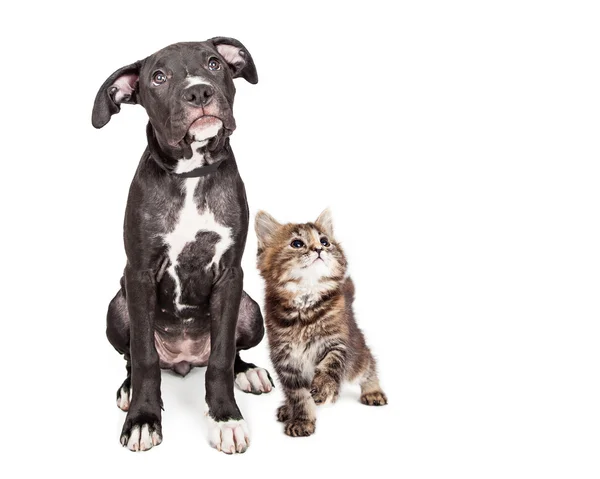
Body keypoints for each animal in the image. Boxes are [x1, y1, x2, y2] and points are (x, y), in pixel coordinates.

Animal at [92, 39, 274, 456]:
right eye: (158, 77)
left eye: (214, 63)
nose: (199, 92)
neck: (190, 175)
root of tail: (184, 360)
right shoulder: (140, 274)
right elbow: (143, 357)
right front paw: (143, 419)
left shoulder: (229, 275)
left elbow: (222, 357)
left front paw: (225, 418)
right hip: (117, 307)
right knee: (132, 356)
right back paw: (128, 388)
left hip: (250, 310)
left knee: (231, 350)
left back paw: (248, 372)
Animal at [254, 208, 386, 436]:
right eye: (297, 243)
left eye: (325, 241)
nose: (319, 249)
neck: (304, 307)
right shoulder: (285, 359)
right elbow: (298, 396)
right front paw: (302, 419)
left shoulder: (337, 343)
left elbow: (329, 366)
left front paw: (324, 389)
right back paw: (286, 408)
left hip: (357, 354)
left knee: (368, 365)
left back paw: (373, 391)